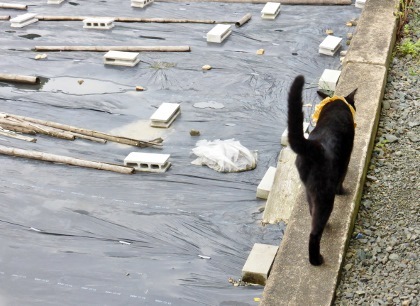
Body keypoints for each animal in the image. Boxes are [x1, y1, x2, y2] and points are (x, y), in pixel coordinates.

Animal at [288, 74, 356, 266]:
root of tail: (313, 146)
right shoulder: (346, 158)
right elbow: (343, 177)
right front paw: (343, 191)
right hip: (324, 194)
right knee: (314, 232)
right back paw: (316, 260)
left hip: (310, 191)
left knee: (313, 214)